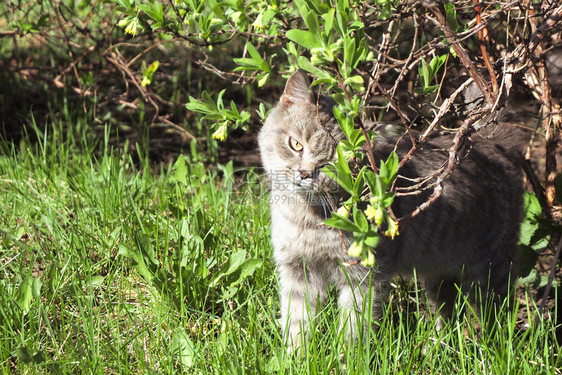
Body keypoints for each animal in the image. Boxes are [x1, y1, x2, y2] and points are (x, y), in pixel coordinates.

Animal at [260, 70, 524, 350]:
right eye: (296, 145)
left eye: (332, 165)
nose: (304, 173)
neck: (308, 220)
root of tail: (492, 140)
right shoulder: (297, 269)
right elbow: (297, 321)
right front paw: (295, 355)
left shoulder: (364, 276)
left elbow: (353, 327)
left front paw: (346, 357)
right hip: (439, 272)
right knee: (447, 311)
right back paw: (438, 346)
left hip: (490, 269)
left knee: (496, 313)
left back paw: (493, 346)